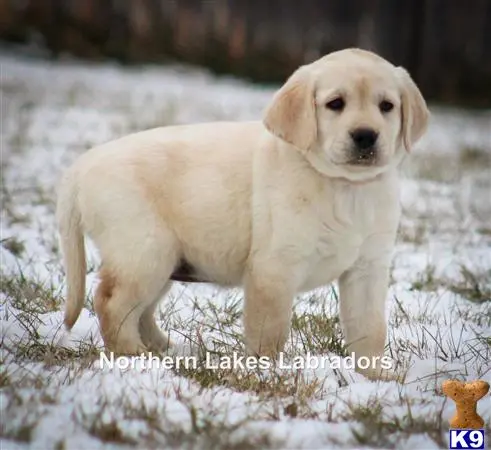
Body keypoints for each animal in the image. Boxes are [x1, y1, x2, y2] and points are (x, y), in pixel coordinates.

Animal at [57, 48, 428, 380]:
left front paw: (374, 375)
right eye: (335, 103)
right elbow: (270, 330)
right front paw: (267, 374)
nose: (366, 136)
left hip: (163, 260)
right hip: (145, 252)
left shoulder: (367, 268)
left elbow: (370, 327)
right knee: (112, 303)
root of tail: (82, 166)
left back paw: (163, 349)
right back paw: (132, 355)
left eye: (387, 106)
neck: (345, 186)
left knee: (140, 310)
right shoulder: (274, 267)